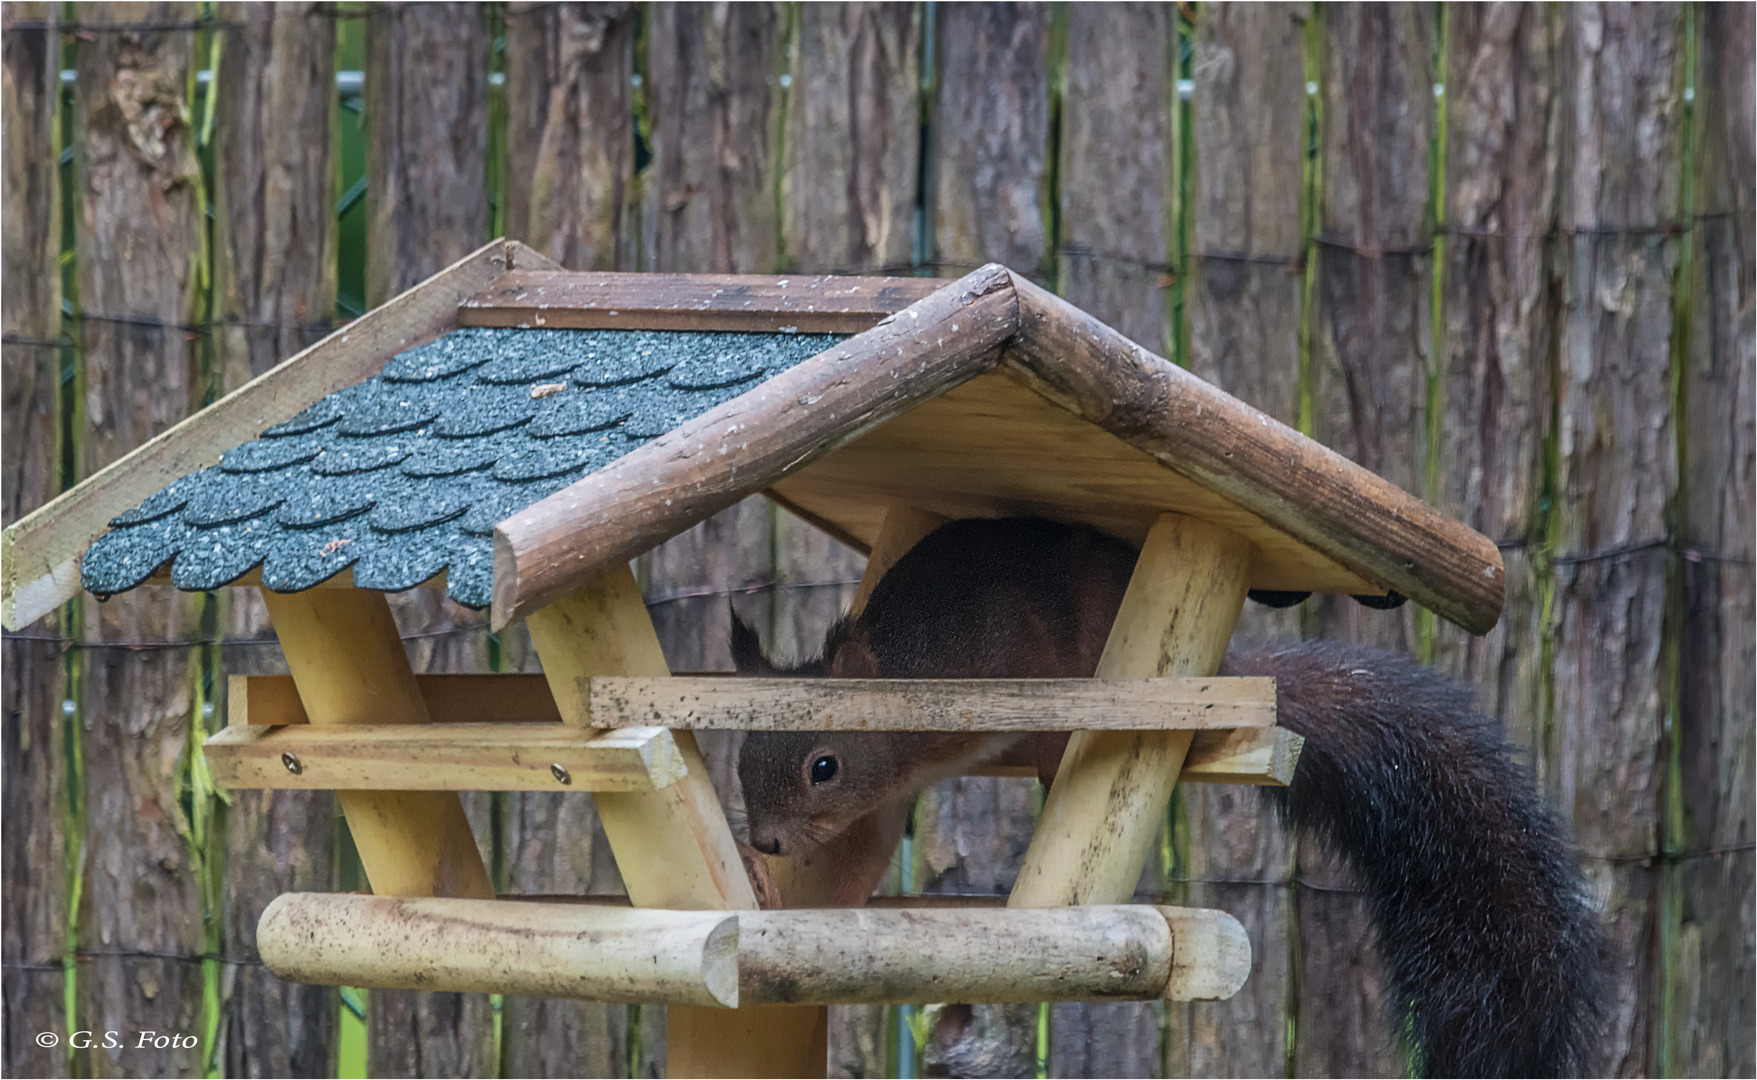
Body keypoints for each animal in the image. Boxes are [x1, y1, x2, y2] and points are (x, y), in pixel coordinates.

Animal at [730, 519, 1609, 1074]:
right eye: (737, 761)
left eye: (822, 765)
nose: (766, 840)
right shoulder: (880, 804)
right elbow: (852, 863)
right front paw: (775, 891)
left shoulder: (1001, 655)